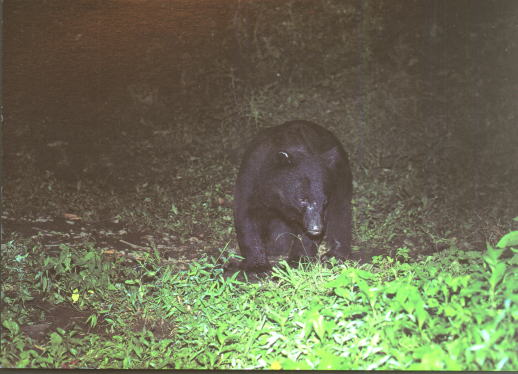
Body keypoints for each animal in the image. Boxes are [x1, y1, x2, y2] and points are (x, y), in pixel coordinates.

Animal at [235, 121, 354, 270]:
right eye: (302, 199)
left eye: (324, 201)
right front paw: (257, 266)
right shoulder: (252, 175)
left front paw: (299, 260)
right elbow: (246, 214)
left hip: (341, 175)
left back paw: (334, 255)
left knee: (341, 212)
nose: (316, 228)